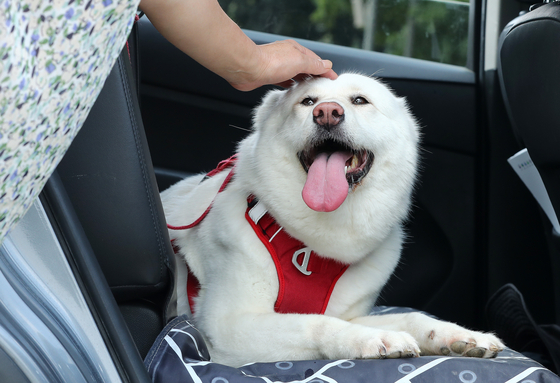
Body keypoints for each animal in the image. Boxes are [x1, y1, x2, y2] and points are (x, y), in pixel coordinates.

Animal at [161, 73, 504, 368]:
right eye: (308, 101)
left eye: (360, 100)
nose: (327, 112)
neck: (313, 245)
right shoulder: (227, 327)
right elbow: (317, 323)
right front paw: (373, 338)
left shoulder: (352, 312)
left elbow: (412, 318)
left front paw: (459, 335)